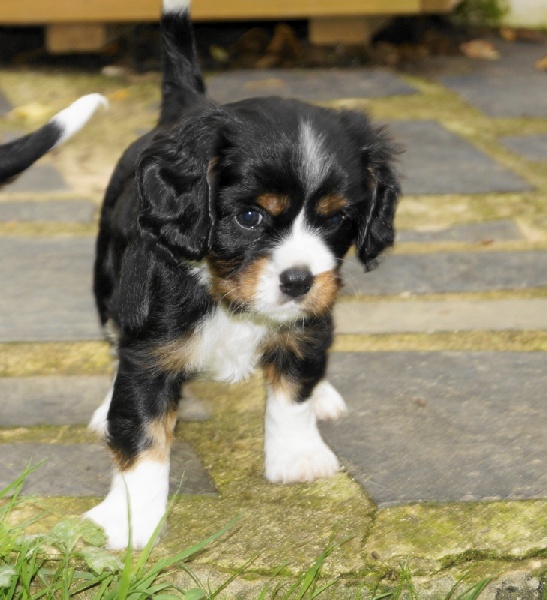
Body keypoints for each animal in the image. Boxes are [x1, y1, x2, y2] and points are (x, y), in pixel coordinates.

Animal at [88, 0, 400, 548]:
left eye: (337, 219)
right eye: (250, 217)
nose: (299, 281)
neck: (225, 293)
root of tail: (187, 108)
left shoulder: (308, 325)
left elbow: (293, 392)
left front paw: (297, 457)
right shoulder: (150, 352)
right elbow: (142, 435)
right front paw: (133, 520)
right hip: (107, 284)